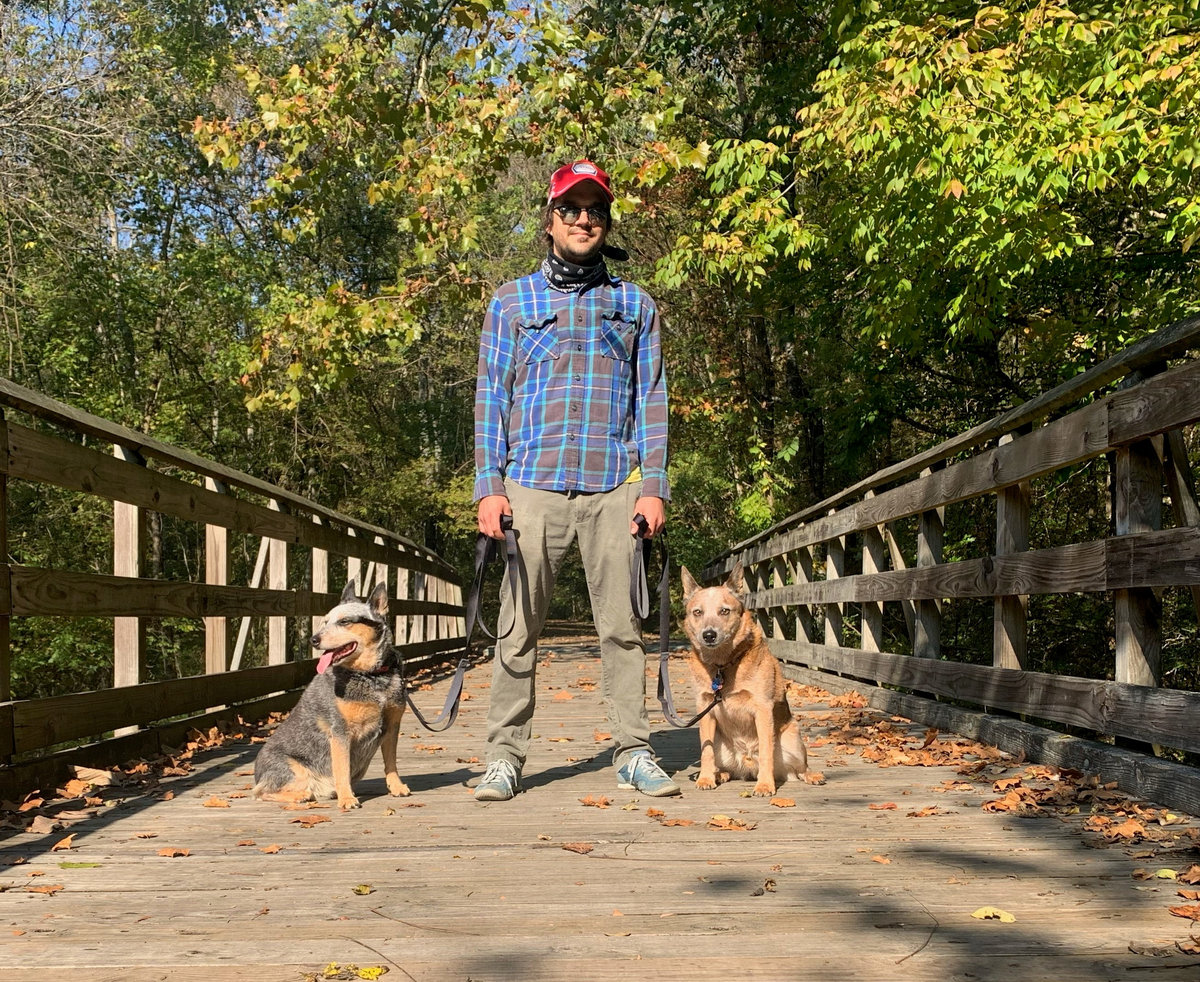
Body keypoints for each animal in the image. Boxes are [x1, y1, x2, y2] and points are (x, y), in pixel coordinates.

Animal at [253, 581, 410, 810]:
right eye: (325, 621)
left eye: (345, 621)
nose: (314, 639)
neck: (370, 676)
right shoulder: (341, 732)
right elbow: (342, 769)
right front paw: (347, 799)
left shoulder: (391, 726)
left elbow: (391, 762)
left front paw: (396, 787)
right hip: (294, 769)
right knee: (260, 792)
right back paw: (300, 796)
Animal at [681, 561, 810, 796]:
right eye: (697, 612)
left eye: (724, 611)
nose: (709, 635)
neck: (723, 666)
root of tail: (748, 765)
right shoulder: (705, 709)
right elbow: (706, 751)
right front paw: (705, 778)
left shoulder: (763, 709)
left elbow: (767, 751)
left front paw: (765, 784)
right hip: (722, 745)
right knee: (724, 765)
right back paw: (719, 774)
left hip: (792, 740)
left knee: (799, 769)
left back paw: (812, 776)